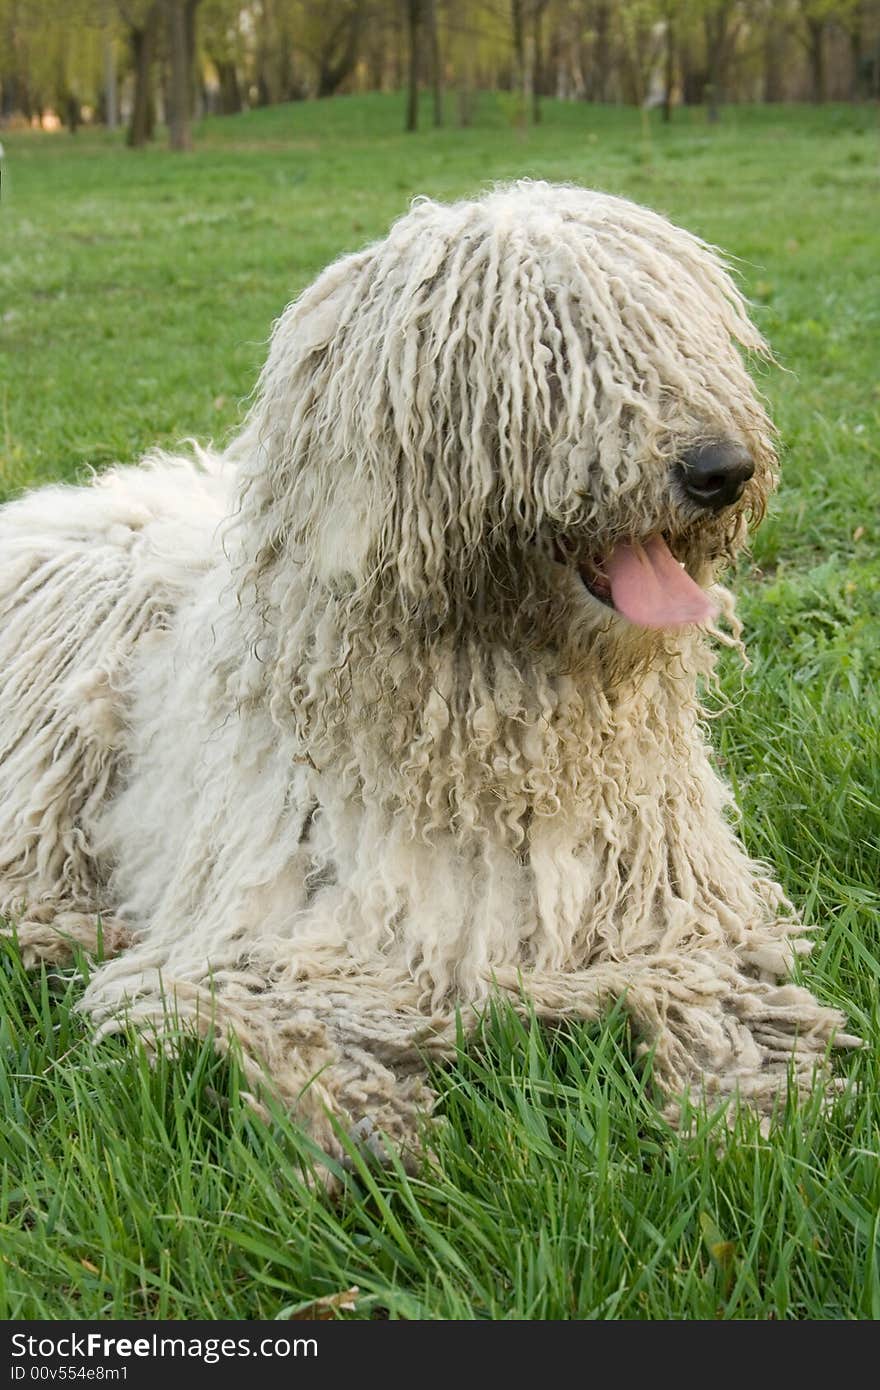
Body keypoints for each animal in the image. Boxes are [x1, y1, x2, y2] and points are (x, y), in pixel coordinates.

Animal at [0, 184, 850, 1162]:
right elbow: (278, 1005)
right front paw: (359, 1121)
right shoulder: (268, 932)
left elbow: (715, 983)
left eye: (679, 333)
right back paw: (64, 927)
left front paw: (756, 1104)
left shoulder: (670, 906)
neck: (500, 722)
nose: (723, 467)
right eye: (553, 349)